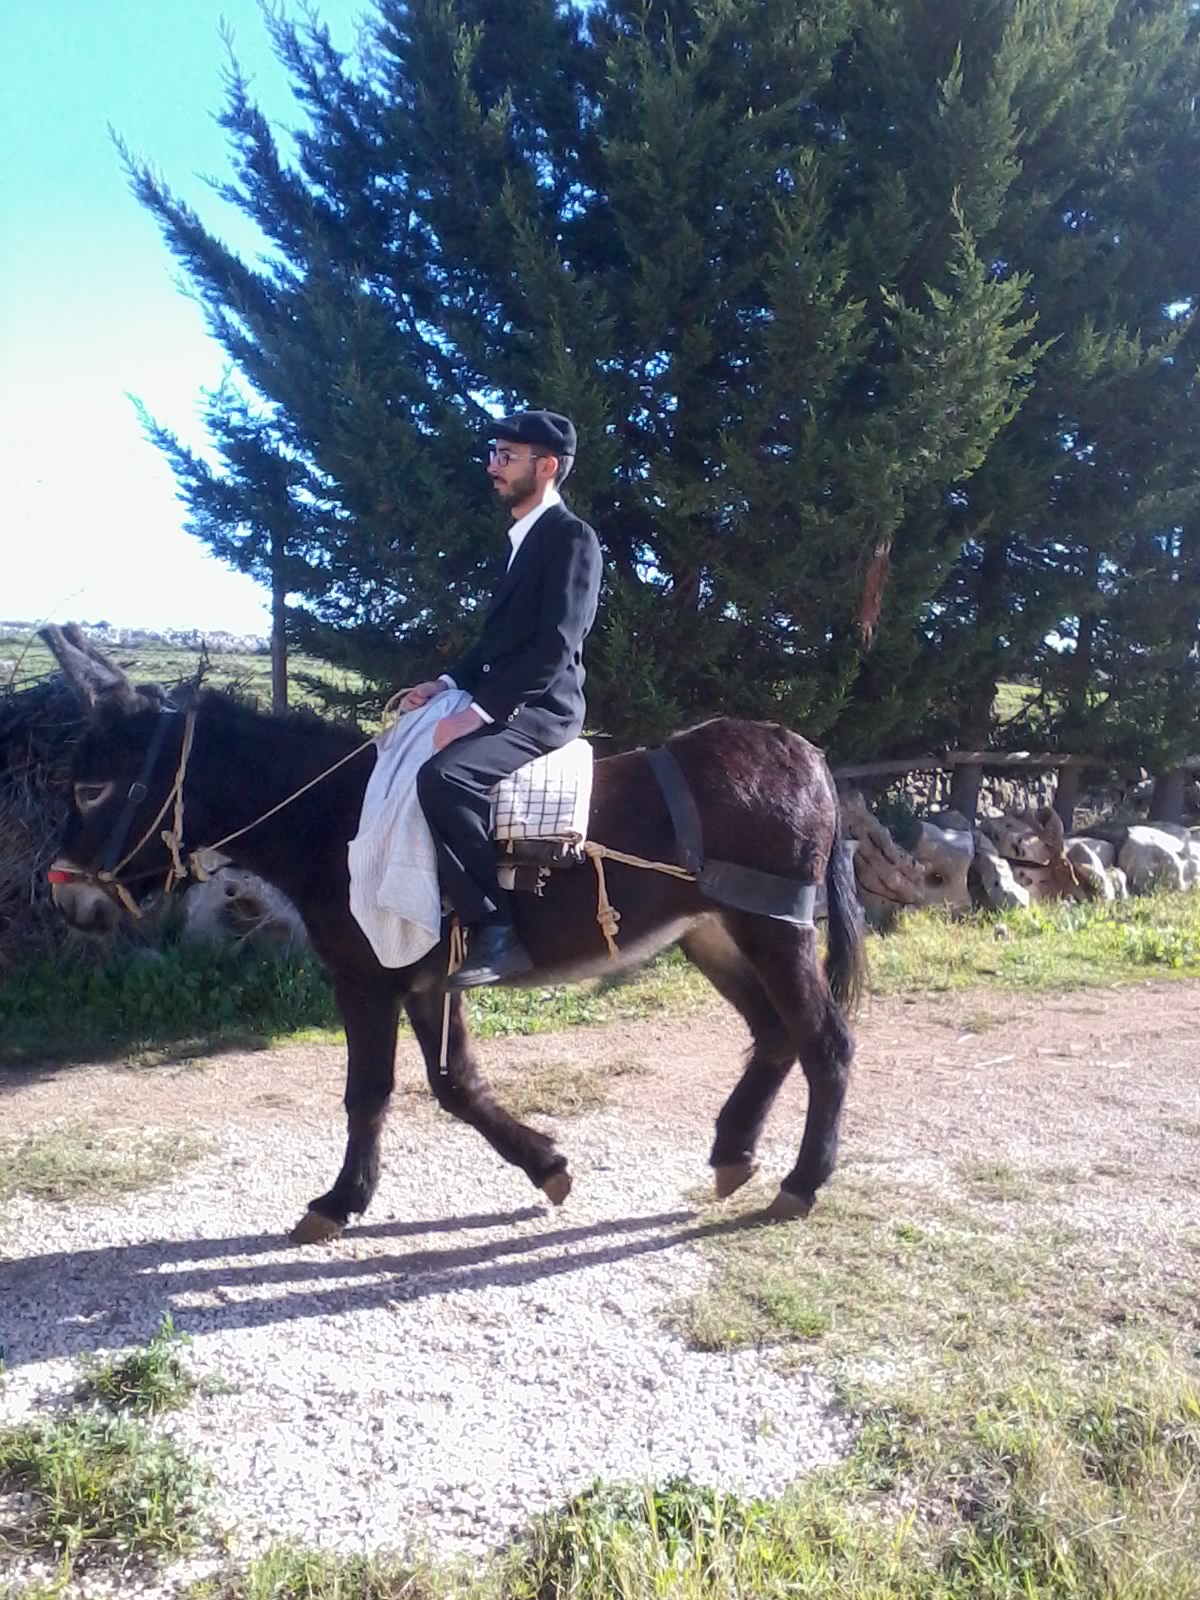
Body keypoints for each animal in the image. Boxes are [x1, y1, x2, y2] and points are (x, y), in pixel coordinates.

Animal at [42, 626, 865, 1245]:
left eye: (92, 788)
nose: (66, 900)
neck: (335, 819)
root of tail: (806, 752)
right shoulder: (428, 978)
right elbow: (455, 1086)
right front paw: (548, 1167)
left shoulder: (367, 978)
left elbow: (369, 1092)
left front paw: (338, 1203)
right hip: (714, 936)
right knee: (774, 1035)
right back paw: (733, 1154)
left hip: (773, 930)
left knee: (824, 1042)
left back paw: (800, 1183)